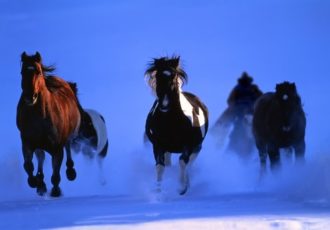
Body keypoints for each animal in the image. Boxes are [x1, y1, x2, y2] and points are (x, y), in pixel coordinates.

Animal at [16, 52, 80, 198]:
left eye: (38, 72)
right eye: (22, 72)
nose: (30, 96)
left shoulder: (57, 148)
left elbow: (56, 173)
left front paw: (56, 191)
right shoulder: (27, 143)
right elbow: (28, 165)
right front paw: (34, 182)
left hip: (70, 134)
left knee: (68, 146)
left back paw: (70, 171)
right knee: (40, 157)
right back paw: (40, 183)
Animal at [145, 56, 208, 195]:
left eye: (174, 78)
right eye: (157, 77)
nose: (164, 105)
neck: (171, 123)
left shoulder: (188, 145)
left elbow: (183, 162)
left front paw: (181, 187)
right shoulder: (158, 145)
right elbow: (160, 166)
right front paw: (158, 190)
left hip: (197, 146)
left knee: (189, 163)